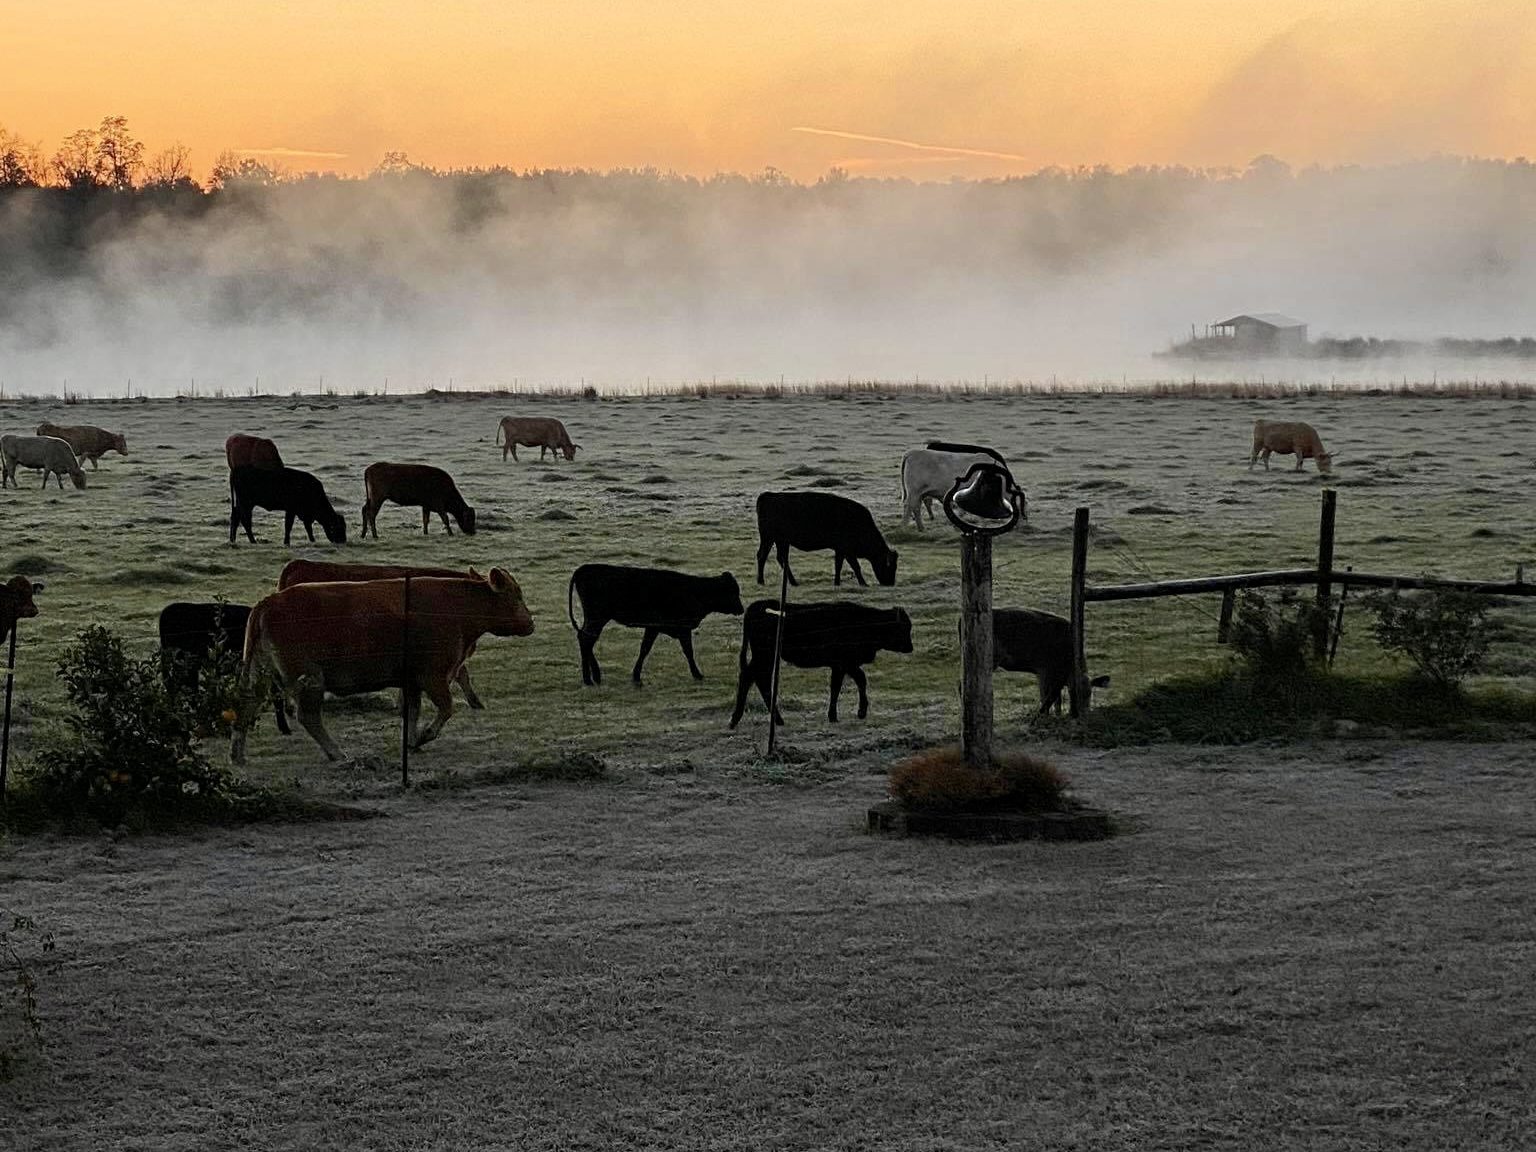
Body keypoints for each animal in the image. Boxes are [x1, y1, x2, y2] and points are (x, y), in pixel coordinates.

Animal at [574, 565, 746, 685]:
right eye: (732, 592)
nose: (741, 609)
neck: (696, 591)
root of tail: (582, 570)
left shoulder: (654, 628)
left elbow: (644, 649)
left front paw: (636, 676)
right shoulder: (677, 629)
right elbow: (687, 651)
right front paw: (697, 674)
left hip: (595, 619)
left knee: (585, 640)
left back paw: (594, 677)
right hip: (597, 618)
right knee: (586, 640)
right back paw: (589, 679)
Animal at [728, 599, 909, 724]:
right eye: (904, 628)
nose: (910, 647)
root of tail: (756, 607)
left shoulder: (841, 665)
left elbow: (841, 685)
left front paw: (836, 715)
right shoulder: (845, 663)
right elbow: (856, 681)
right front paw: (855, 713)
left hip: (766, 658)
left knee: (757, 679)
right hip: (764, 656)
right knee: (753, 678)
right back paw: (743, 719)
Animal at [755, 491, 897, 589]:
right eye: (889, 566)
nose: (890, 583)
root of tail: (768, 496)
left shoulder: (840, 550)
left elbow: (838, 565)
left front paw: (837, 583)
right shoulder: (847, 550)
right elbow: (856, 566)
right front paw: (863, 583)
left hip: (781, 541)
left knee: (780, 558)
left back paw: (792, 582)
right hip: (769, 538)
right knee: (763, 556)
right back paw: (762, 581)